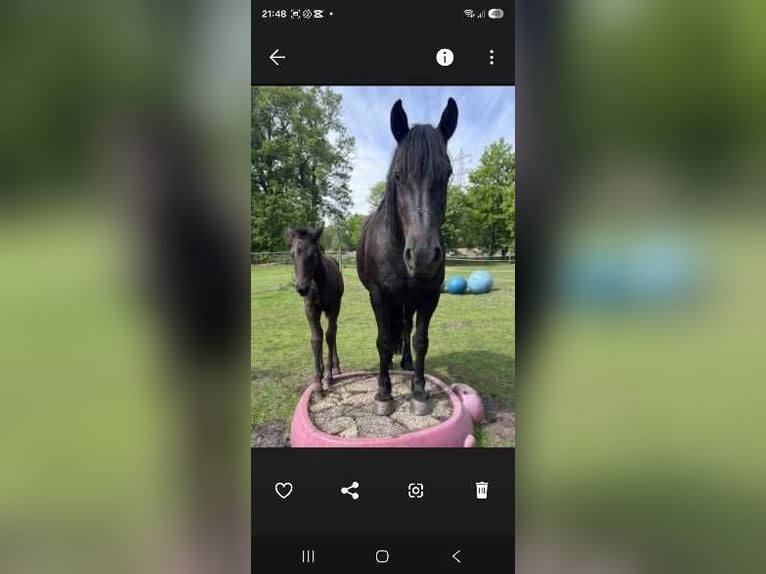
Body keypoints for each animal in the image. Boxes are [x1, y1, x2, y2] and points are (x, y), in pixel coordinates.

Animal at [286, 223, 344, 390]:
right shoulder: (311, 310)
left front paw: (328, 376)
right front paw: (318, 379)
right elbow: (316, 338)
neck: (319, 284)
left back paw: (336, 368)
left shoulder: (333, 307)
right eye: (291, 254)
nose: (302, 288)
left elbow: (329, 335)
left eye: (312, 254)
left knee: (333, 331)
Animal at [356, 97, 458, 416]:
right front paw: (383, 393)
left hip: (409, 301)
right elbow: (384, 340)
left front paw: (419, 391)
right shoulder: (378, 296)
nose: (423, 256)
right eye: (398, 175)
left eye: (448, 173)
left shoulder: (428, 298)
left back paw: (407, 363)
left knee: (405, 328)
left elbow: (420, 340)